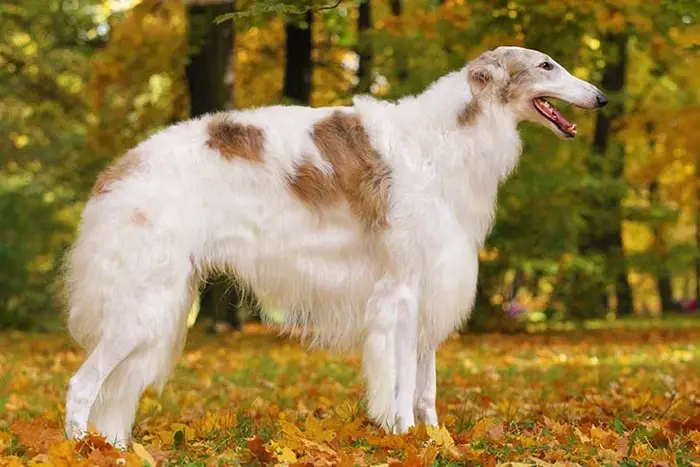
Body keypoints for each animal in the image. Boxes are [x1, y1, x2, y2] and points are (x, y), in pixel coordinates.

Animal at [61, 46, 608, 446]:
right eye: (546, 65)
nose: (601, 97)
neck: (444, 140)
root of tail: (118, 171)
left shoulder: (432, 283)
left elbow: (427, 386)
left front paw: (435, 439)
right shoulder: (400, 289)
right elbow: (402, 382)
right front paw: (403, 437)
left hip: (162, 304)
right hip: (144, 304)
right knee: (80, 386)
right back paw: (81, 448)